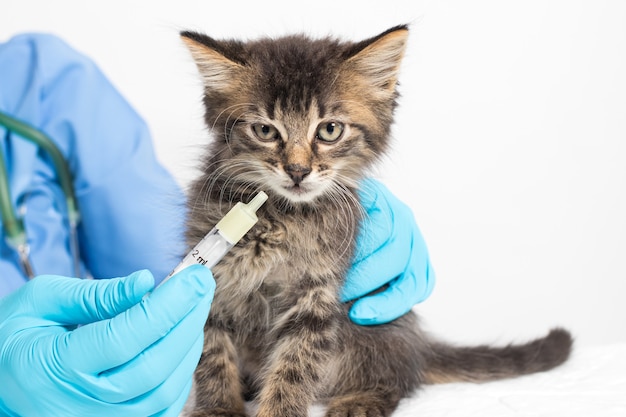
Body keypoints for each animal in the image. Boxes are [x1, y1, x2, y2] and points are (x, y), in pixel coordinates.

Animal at [0, 35, 432, 416]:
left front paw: (278, 410)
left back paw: (359, 401)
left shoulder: (317, 292)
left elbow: (295, 365)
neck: (279, 218)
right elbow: (212, 352)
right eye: (265, 130)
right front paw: (218, 408)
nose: (297, 171)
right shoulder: (214, 277)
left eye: (329, 130)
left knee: (395, 378)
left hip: (381, 328)